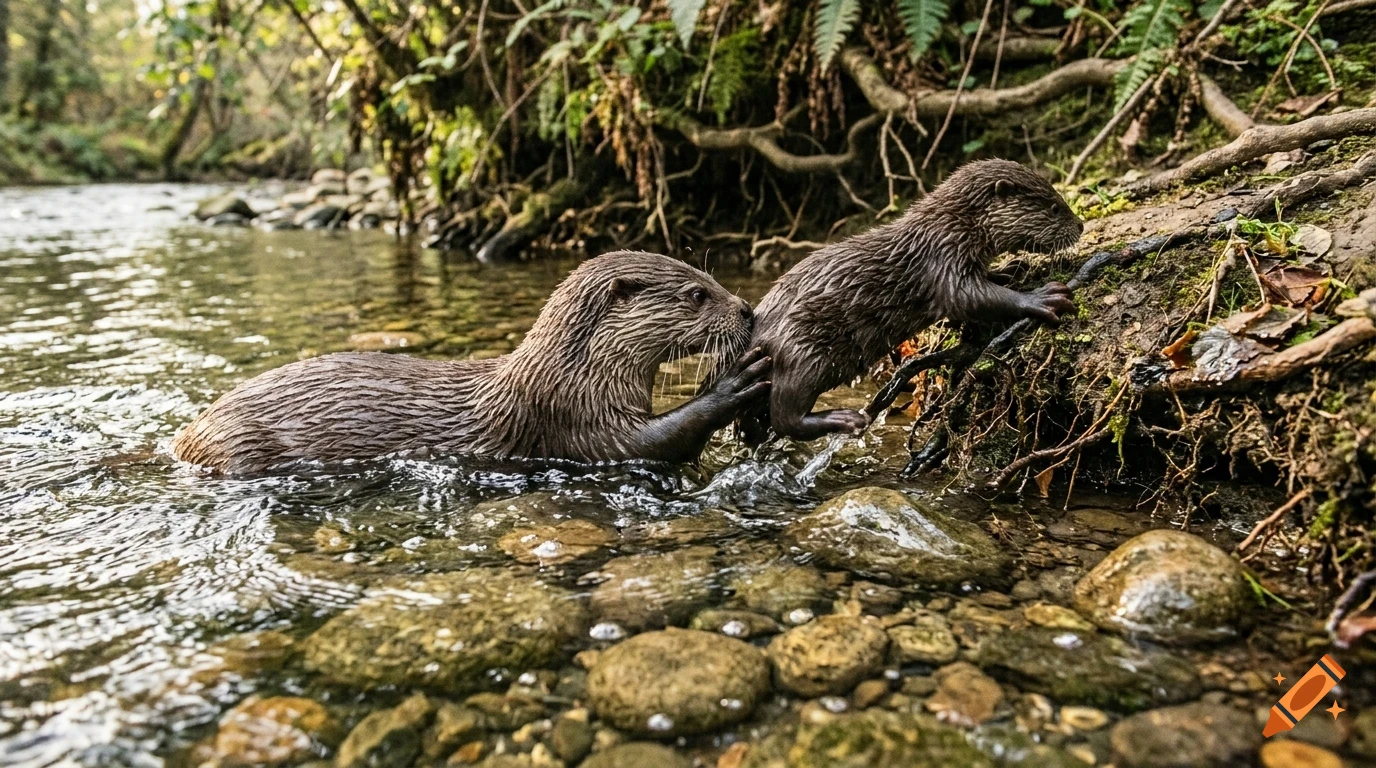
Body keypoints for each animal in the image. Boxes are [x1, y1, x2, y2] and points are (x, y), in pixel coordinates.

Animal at [173, 251, 769, 474]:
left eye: (710, 274)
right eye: (698, 294)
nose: (747, 309)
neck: (572, 373)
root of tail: (185, 437)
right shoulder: (575, 419)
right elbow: (655, 442)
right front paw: (735, 381)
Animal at [746, 159, 1083, 442]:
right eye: (1054, 207)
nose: (1080, 225)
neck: (951, 226)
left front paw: (1009, 268)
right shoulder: (943, 257)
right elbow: (970, 298)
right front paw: (1042, 297)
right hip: (801, 353)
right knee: (785, 418)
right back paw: (845, 419)